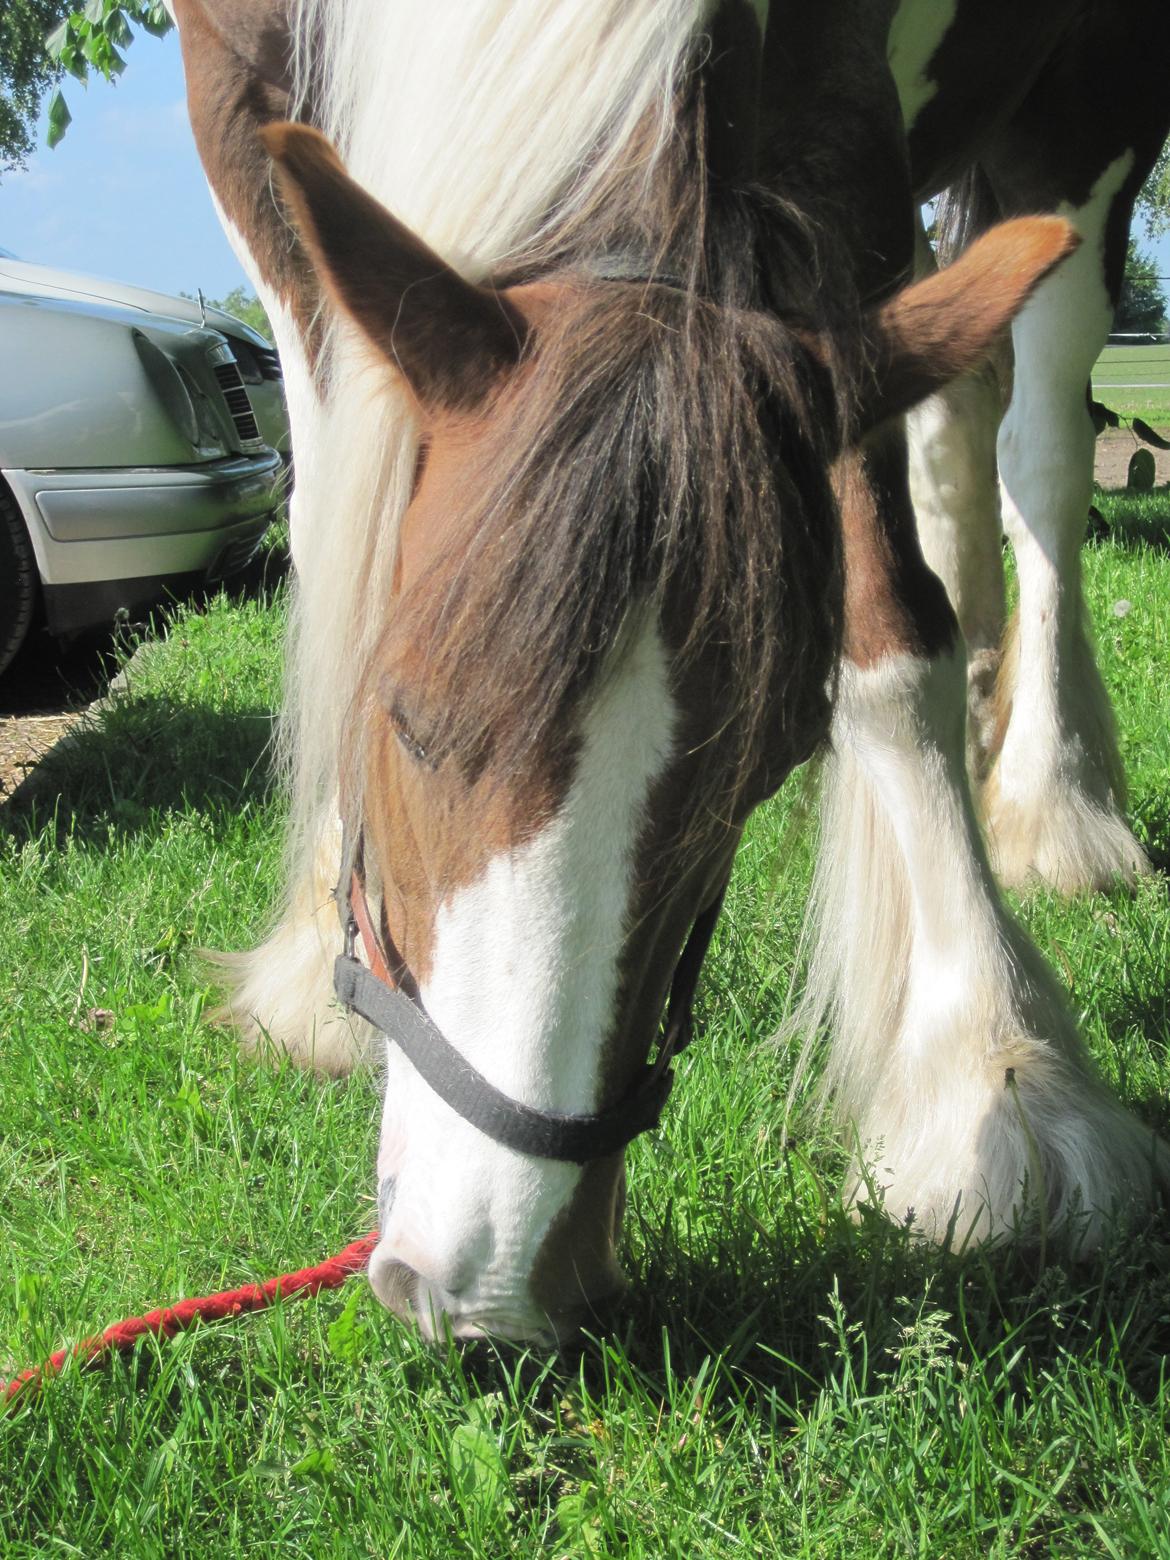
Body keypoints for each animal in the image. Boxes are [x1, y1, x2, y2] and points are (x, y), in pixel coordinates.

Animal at [169, 0, 1166, 1341]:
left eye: (763, 774)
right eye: (407, 720)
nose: (490, 1288)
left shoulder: (841, 158)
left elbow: (894, 634)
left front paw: (992, 1074)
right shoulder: (238, 102)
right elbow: (342, 522)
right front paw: (320, 979)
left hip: (1089, 111)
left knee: (1042, 452)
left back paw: (1054, 800)